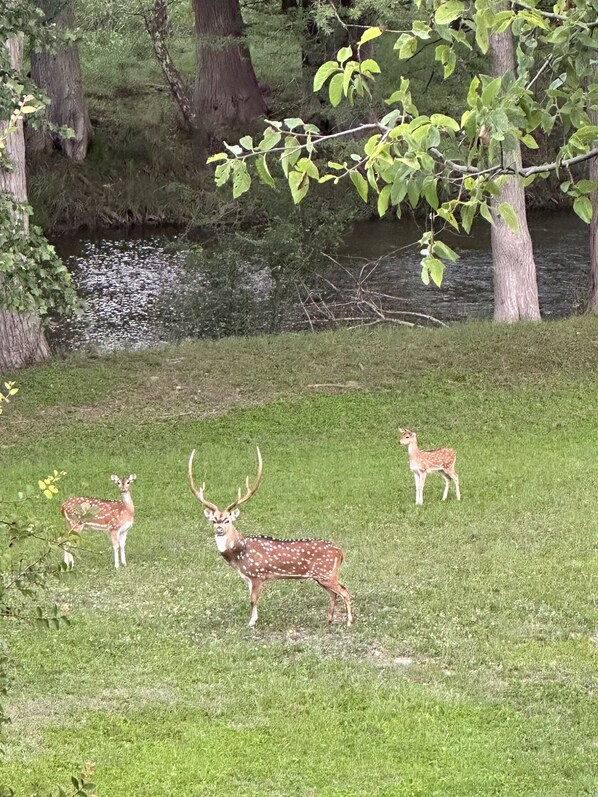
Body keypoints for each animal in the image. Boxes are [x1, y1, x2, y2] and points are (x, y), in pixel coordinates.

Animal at [190, 448, 354, 628]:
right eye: (213, 520)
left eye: (227, 520)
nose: (219, 529)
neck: (239, 554)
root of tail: (340, 552)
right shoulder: (248, 578)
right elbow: (253, 599)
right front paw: (253, 620)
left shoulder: (257, 574)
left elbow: (253, 600)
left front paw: (251, 623)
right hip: (322, 576)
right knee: (334, 593)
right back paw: (329, 619)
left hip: (326, 573)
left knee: (345, 591)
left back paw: (349, 621)